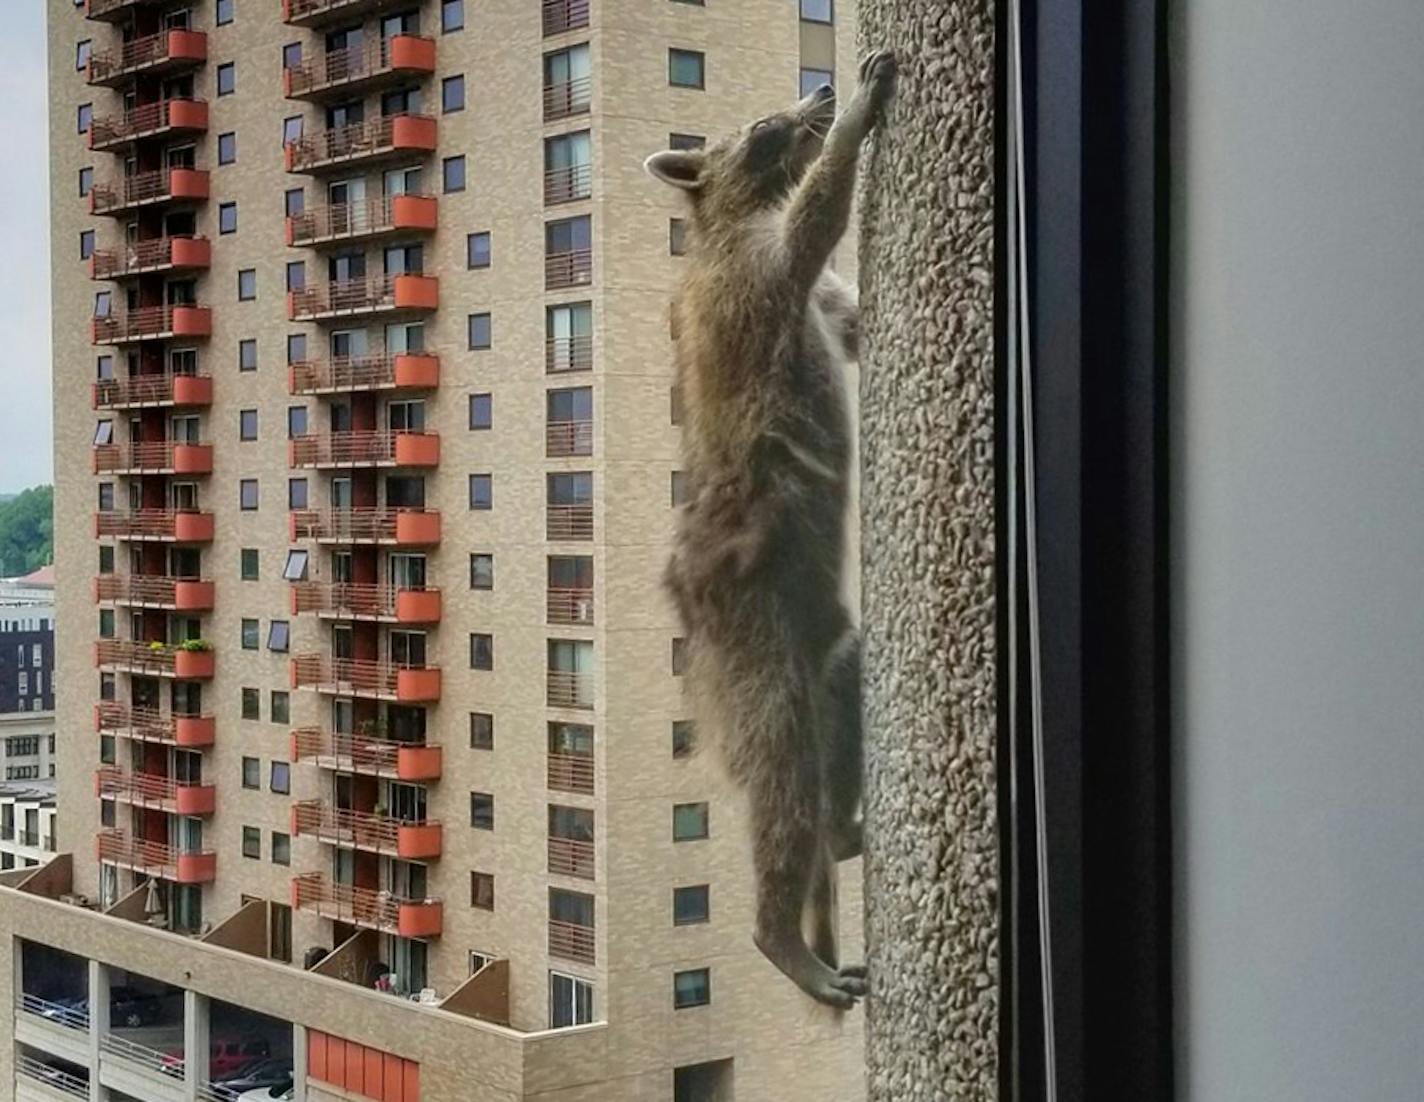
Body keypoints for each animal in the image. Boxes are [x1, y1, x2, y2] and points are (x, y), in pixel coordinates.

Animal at [649, 47, 894, 1008]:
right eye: (761, 128)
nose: (817, 92)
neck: (721, 217)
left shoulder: (814, 299)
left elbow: (849, 317)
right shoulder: (752, 278)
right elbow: (812, 225)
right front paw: (857, 120)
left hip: (817, 635)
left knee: (842, 687)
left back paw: (843, 831)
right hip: (748, 635)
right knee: (783, 783)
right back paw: (779, 935)